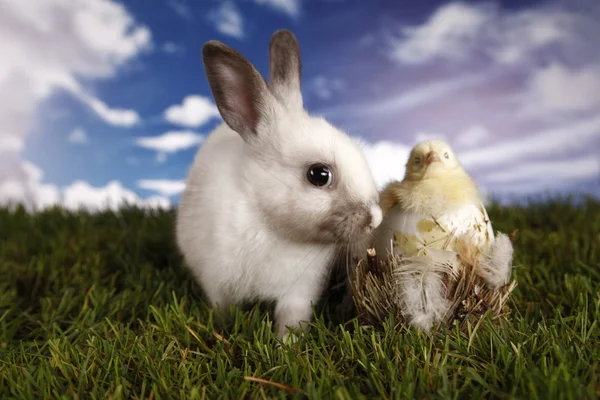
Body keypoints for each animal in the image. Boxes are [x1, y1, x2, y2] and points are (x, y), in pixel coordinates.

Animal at [176, 29, 382, 340]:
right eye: (319, 175)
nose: (376, 218)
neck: (270, 225)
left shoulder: (299, 291)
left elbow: (290, 320)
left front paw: (287, 345)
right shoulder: (217, 283)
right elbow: (223, 311)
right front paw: (223, 332)